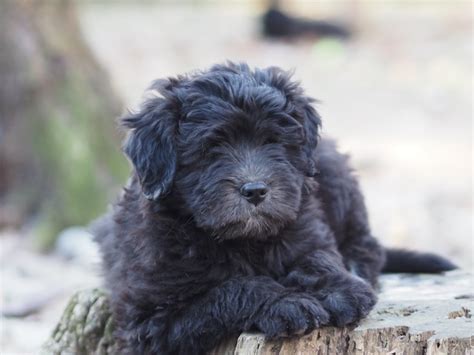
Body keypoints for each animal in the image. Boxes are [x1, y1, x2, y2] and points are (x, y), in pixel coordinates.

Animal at [95, 62, 456, 354]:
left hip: (332, 169)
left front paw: (339, 287)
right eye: (211, 148)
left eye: (272, 141)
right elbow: (235, 288)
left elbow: (318, 256)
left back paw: (356, 269)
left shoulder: (305, 226)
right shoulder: (150, 324)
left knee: (368, 246)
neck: (243, 241)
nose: (255, 190)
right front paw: (286, 303)